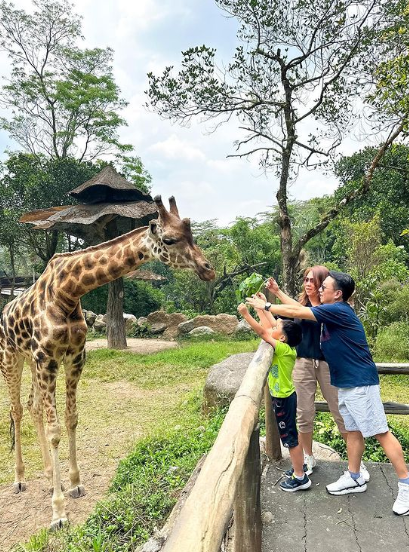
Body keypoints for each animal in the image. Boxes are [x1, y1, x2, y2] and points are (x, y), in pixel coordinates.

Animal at [0, 196, 215, 528]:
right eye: (169, 239)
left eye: (191, 235)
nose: (208, 269)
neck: (68, 291)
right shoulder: (48, 358)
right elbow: (55, 430)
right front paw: (58, 512)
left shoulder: (74, 356)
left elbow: (71, 419)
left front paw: (74, 484)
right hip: (11, 357)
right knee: (16, 411)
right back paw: (20, 479)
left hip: (31, 360)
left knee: (33, 407)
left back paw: (48, 476)